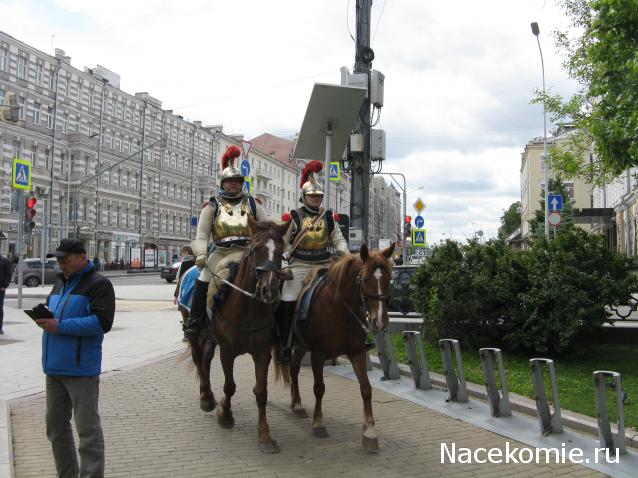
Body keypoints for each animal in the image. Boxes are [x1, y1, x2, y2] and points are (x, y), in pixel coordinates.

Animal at [190, 218, 290, 454]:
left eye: (280, 251)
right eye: (255, 249)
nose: (270, 290)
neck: (248, 310)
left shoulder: (262, 353)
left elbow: (261, 392)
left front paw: (265, 436)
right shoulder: (227, 352)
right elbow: (230, 386)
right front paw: (225, 415)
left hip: (211, 338)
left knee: (206, 360)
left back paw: (209, 396)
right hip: (197, 334)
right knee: (199, 360)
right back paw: (206, 397)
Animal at [278, 243, 398, 452]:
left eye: (388, 279)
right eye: (365, 279)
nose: (380, 321)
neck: (339, 308)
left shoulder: (357, 352)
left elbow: (366, 389)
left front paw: (369, 433)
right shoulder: (318, 354)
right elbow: (319, 388)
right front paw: (318, 424)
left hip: (300, 346)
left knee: (293, 370)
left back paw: (297, 404)